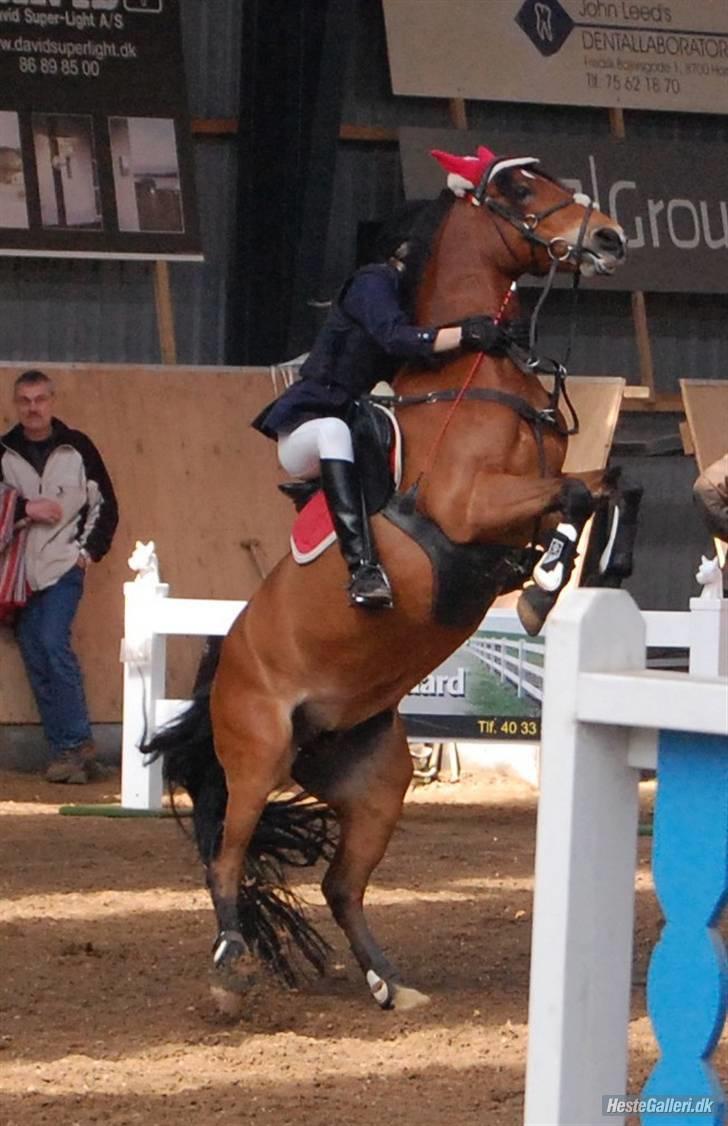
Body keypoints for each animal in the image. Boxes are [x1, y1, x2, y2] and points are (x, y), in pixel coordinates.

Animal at [145, 146, 631, 1014]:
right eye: (519, 186)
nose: (607, 237)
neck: (471, 371)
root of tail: (222, 664)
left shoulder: (527, 498)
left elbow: (600, 485)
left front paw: (566, 574)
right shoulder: (472, 509)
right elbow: (576, 495)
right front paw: (543, 586)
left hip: (377, 778)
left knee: (342, 884)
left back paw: (389, 983)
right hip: (257, 753)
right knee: (226, 857)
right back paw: (231, 971)